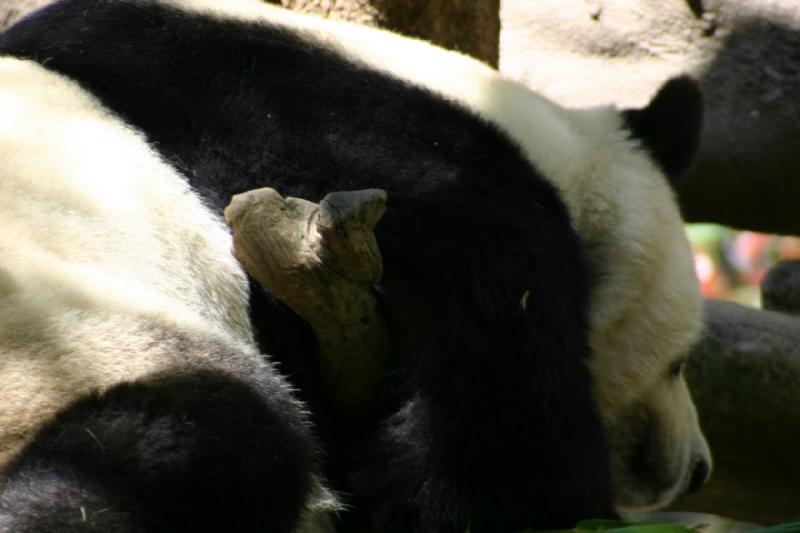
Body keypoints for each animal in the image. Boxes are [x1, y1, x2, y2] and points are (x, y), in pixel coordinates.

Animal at [0, 0, 712, 528]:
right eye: (678, 363)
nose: (699, 470)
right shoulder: (351, 151)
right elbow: (498, 436)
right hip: (80, 349)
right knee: (202, 441)